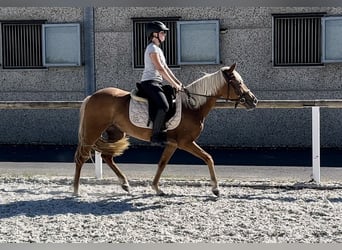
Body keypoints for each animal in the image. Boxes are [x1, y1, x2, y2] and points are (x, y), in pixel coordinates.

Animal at [73, 63, 258, 196]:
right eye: (238, 83)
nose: (253, 100)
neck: (192, 106)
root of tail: (91, 96)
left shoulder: (173, 144)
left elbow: (162, 163)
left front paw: (157, 188)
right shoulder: (185, 142)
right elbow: (208, 158)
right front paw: (216, 188)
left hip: (115, 132)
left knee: (107, 156)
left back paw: (125, 184)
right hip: (92, 132)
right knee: (81, 158)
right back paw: (76, 190)